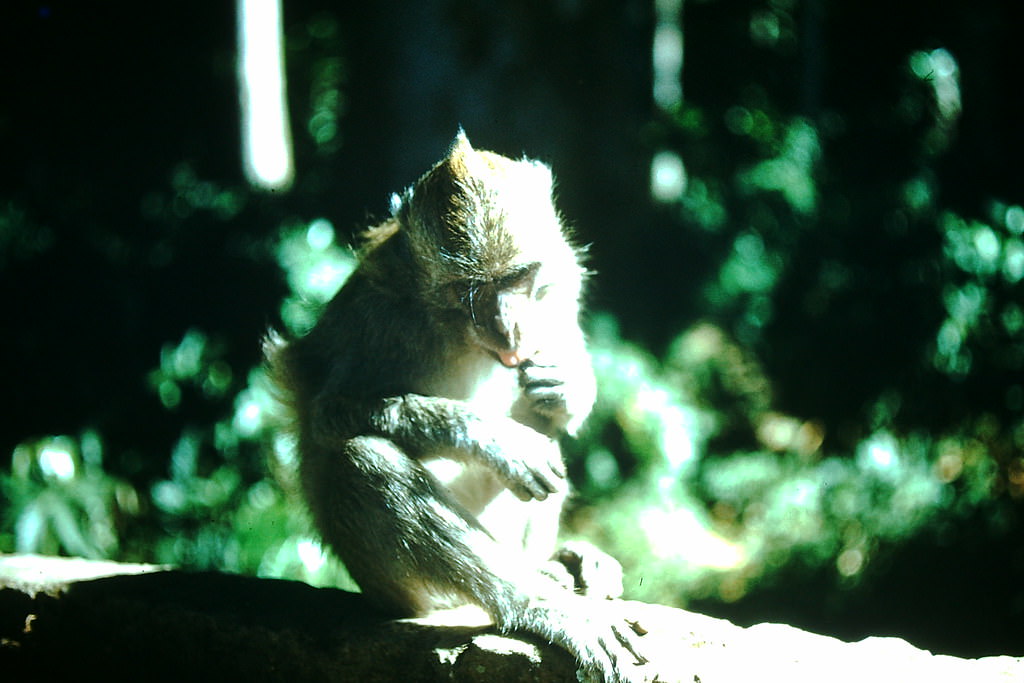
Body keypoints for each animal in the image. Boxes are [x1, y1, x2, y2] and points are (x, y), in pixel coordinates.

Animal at [264, 131, 647, 679]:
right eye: (470, 289)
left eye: (519, 277)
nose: (508, 328)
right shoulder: (380, 317)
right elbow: (328, 415)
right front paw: (496, 440)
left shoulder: (561, 280)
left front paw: (569, 384)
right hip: (397, 588)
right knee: (362, 461)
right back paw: (540, 603)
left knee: (542, 423)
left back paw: (559, 565)